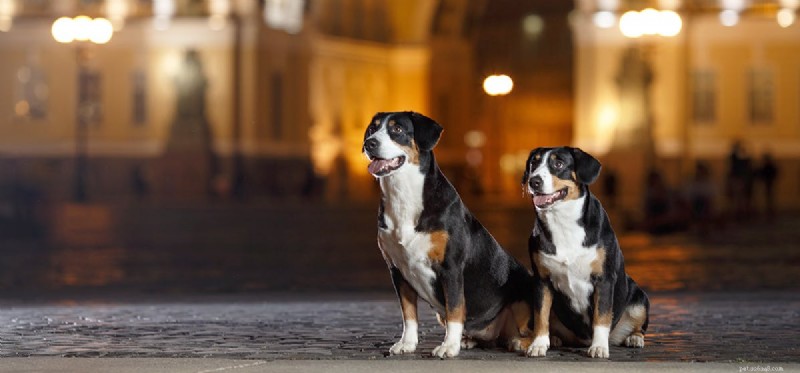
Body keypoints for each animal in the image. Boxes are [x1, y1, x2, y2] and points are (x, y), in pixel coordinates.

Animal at [362, 111, 536, 358]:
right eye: (372, 129)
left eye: (397, 129)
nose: (370, 143)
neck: (403, 196)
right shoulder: (397, 270)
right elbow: (409, 314)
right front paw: (407, 343)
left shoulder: (451, 267)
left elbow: (455, 309)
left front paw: (449, 347)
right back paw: (470, 340)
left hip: (523, 297)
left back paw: (522, 343)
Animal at [520, 145, 648, 358]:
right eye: (534, 163)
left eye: (559, 163)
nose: (534, 181)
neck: (563, 222)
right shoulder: (542, 280)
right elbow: (541, 315)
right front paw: (538, 344)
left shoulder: (604, 280)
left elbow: (601, 317)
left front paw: (599, 347)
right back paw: (554, 339)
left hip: (639, 300)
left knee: (636, 326)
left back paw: (634, 338)